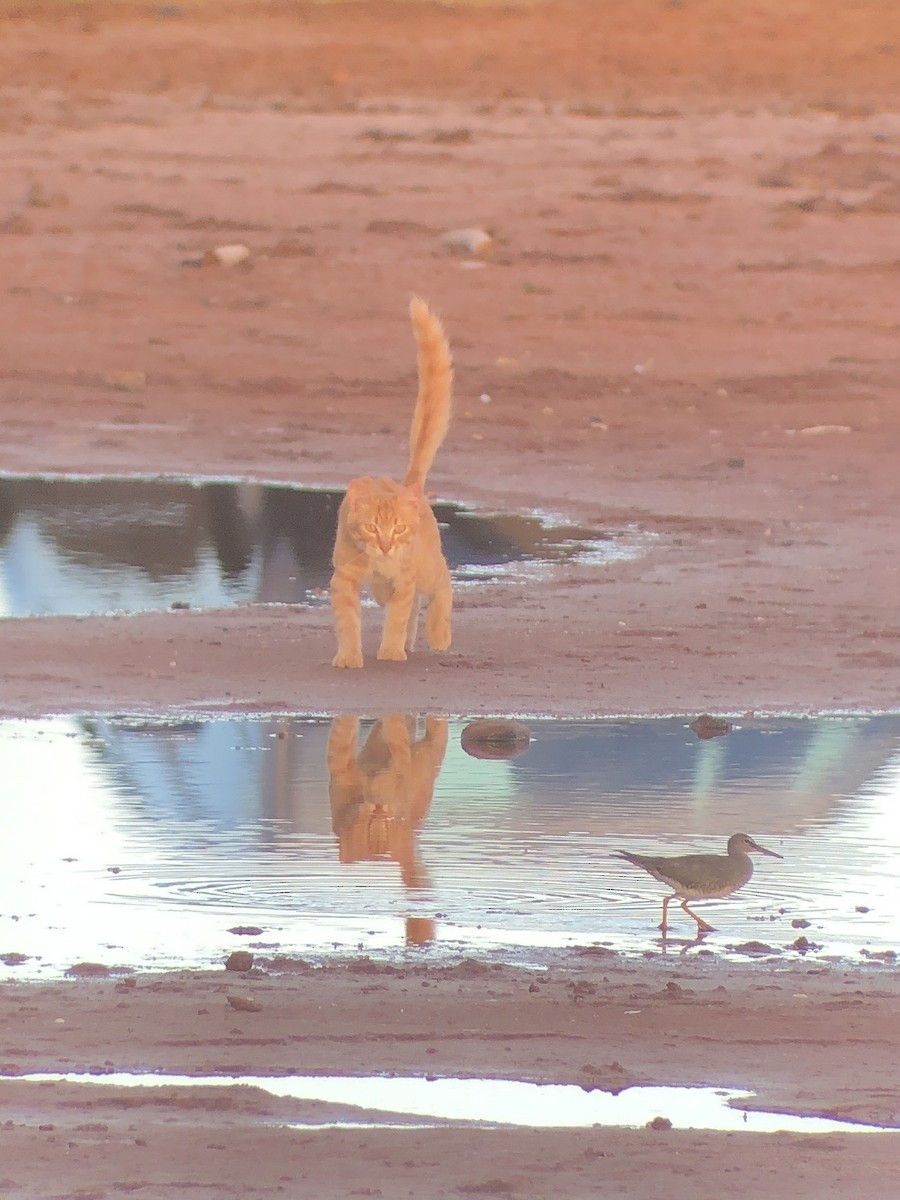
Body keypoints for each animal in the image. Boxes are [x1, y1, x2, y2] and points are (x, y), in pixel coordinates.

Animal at [331, 291, 453, 667]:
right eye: (372, 528)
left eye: (398, 528)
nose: (386, 545)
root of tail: (408, 485)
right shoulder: (344, 580)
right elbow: (348, 621)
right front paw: (349, 656)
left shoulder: (405, 577)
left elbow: (397, 619)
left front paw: (390, 651)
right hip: (382, 588)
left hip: (425, 568)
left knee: (443, 582)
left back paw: (438, 635)